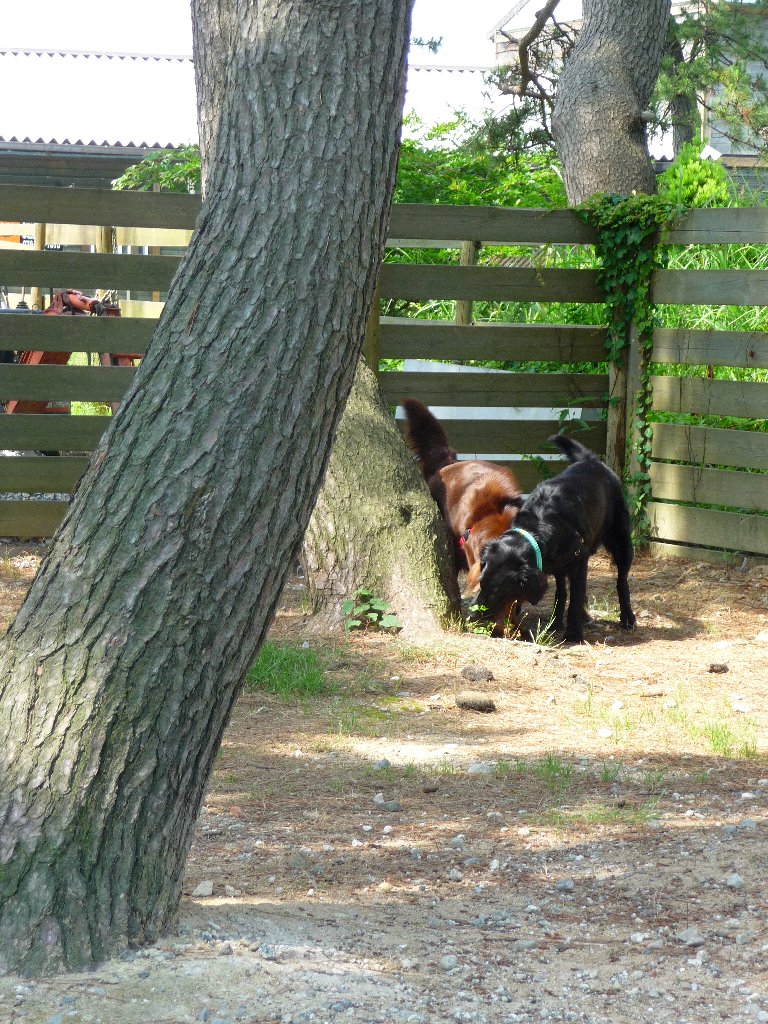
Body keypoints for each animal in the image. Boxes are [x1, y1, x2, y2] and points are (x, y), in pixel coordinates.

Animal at [471, 434, 636, 643]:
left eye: (495, 591)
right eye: (481, 583)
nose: (472, 616)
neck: (537, 526)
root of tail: (591, 461)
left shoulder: (578, 561)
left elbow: (576, 597)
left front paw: (573, 634)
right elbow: (560, 593)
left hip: (621, 542)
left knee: (621, 581)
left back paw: (627, 618)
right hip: (561, 564)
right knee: (562, 590)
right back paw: (558, 621)